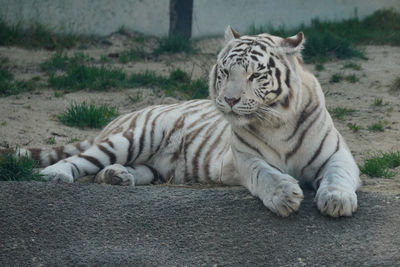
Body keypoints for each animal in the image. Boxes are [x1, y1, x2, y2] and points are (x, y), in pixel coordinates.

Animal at [13, 26, 360, 218]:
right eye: (225, 72)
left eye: (255, 74)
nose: (230, 100)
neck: (277, 122)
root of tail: (121, 118)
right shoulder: (246, 159)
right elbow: (267, 175)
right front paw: (285, 196)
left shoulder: (337, 155)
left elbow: (339, 175)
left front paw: (338, 200)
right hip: (134, 138)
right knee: (80, 160)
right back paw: (54, 176)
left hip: (152, 165)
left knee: (115, 170)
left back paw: (118, 177)